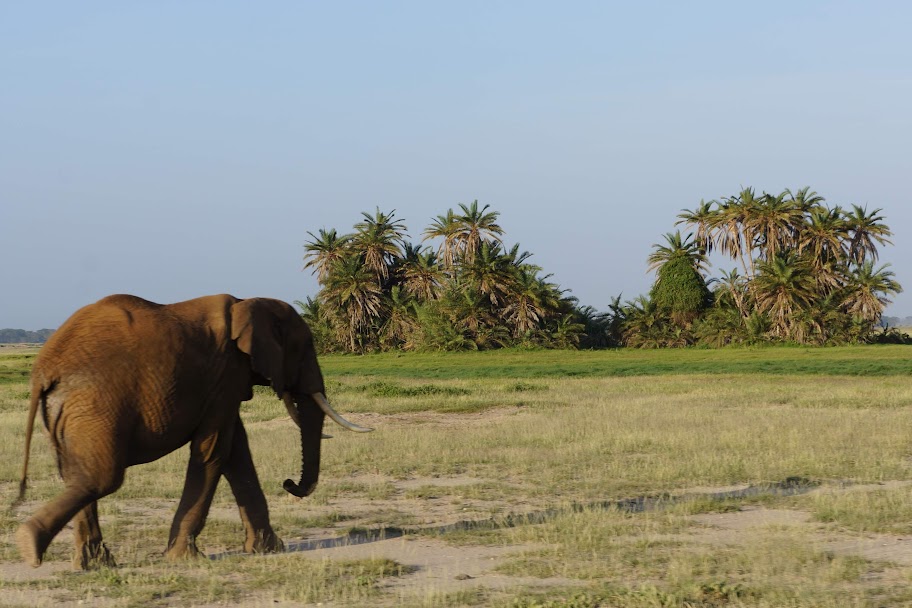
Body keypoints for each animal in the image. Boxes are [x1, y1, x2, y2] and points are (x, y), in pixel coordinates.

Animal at [15, 294, 370, 568]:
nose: (288, 483)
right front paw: (184, 559)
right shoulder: (226, 374)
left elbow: (237, 453)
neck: (246, 303)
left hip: (68, 411)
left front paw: (268, 550)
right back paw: (30, 545)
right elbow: (215, 451)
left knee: (79, 476)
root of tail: (44, 370)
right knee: (101, 478)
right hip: (94, 404)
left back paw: (90, 564)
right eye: (304, 349)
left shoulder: (226, 383)